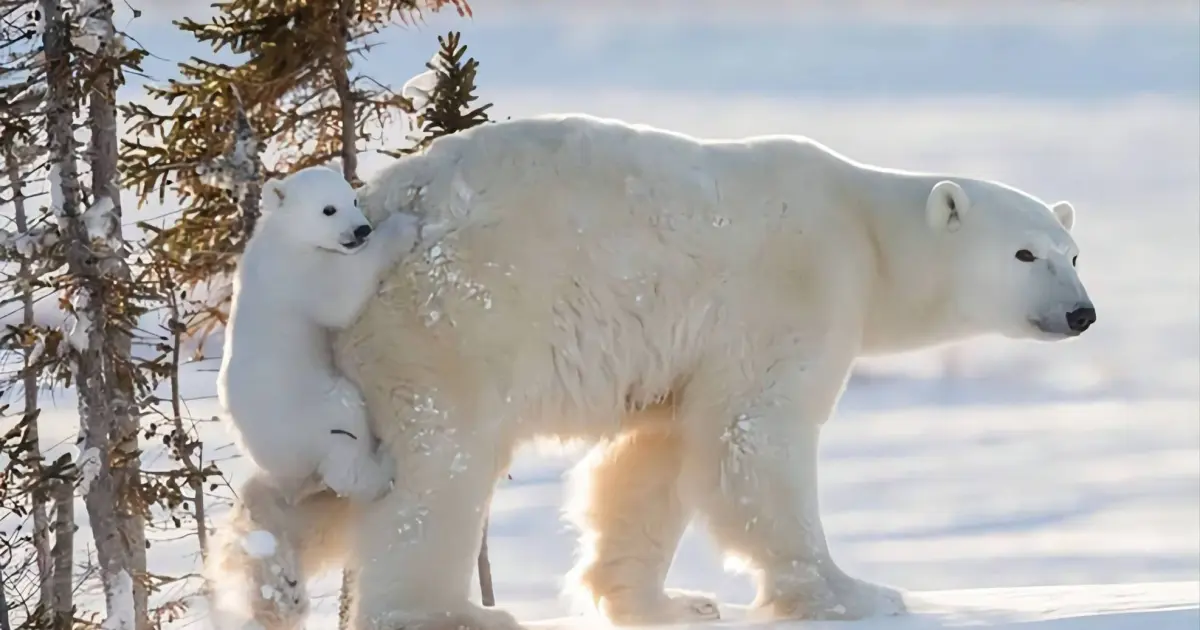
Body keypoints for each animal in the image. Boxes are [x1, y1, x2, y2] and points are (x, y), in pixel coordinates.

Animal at [324, 114, 1094, 628]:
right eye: (1025, 254)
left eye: (1073, 252)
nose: (1081, 313)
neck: (865, 230)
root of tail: (383, 199)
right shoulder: (795, 286)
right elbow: (753, 435)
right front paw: (853, 593)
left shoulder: (683, 353)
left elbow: (655, 457)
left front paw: (669, 601)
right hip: (451, 318)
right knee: (441, 465)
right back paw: (445, 610)